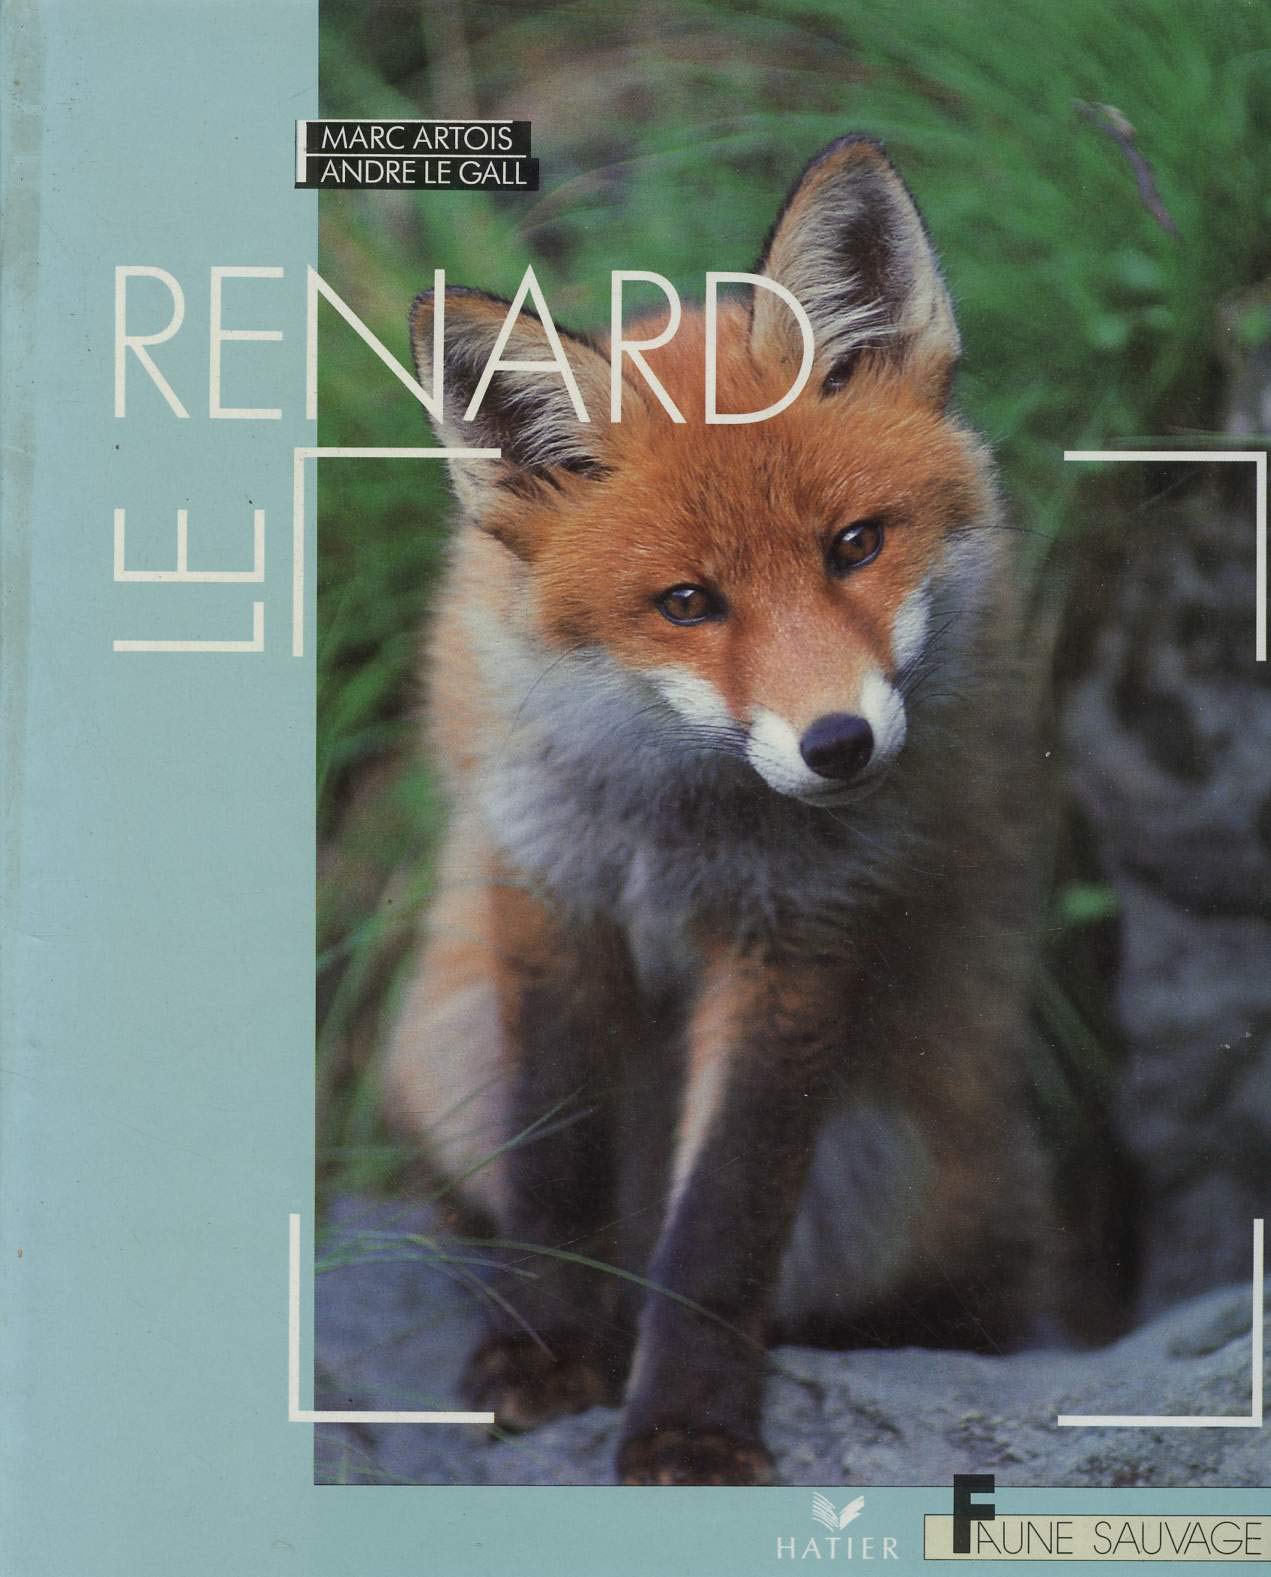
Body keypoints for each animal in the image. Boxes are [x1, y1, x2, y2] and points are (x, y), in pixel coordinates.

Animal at [383, 135, 1057, 1485]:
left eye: (853, 544)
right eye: (688, 602)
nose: (838, 745)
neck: (674, 816)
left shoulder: (797, 934)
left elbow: (722, 1222)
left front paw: (688, 1422)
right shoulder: (547, 881)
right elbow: (556, 1160)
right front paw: (542, 1349)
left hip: (888, 1173)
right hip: (449, 1040)